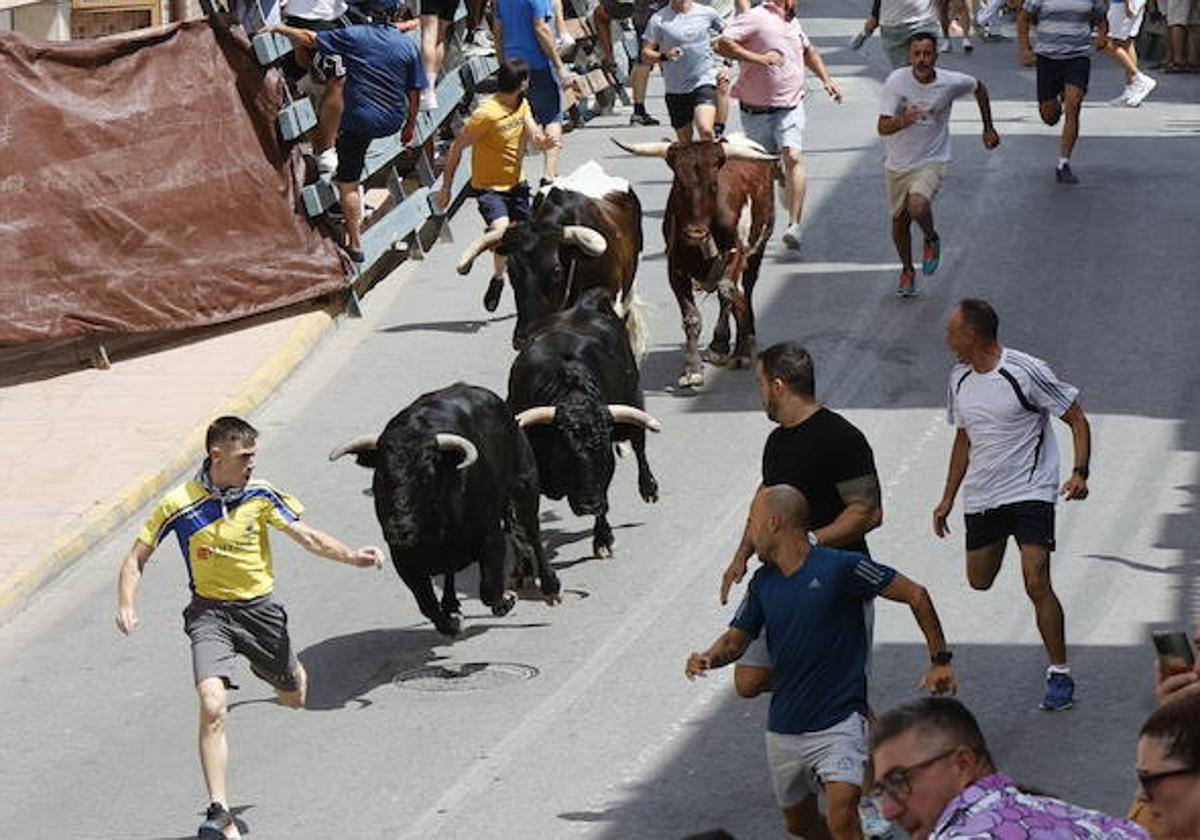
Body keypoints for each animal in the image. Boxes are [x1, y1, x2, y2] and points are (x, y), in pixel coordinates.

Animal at [331, 381, 559, 638]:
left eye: (426, 475)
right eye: (381, 476)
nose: (399, 529)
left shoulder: (490, 538)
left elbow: (489, 590)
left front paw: (506, 600)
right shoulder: (404, 558)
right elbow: (427, 605)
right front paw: (451, 622)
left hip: (525, 485)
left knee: (533, 533)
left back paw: (551, 587)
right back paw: (453, 605)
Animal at [504, 286, 662, 556]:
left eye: (602, 452)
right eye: (563, 452)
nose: (590, 504)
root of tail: (585, 305)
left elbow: (605, 497)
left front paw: (603, 540)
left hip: (633, 402)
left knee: (639, 445)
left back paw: (649, 488)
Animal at [614, 136, 772, 386]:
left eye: (714, 185)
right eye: (679, 185)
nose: (695, 233)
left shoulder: (736, 255)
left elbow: (728, 294)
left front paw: (725, 347)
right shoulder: (675, 269)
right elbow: (691, 318)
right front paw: (692, 368)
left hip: (757, 251)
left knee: (742, 291)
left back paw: (740, 346)